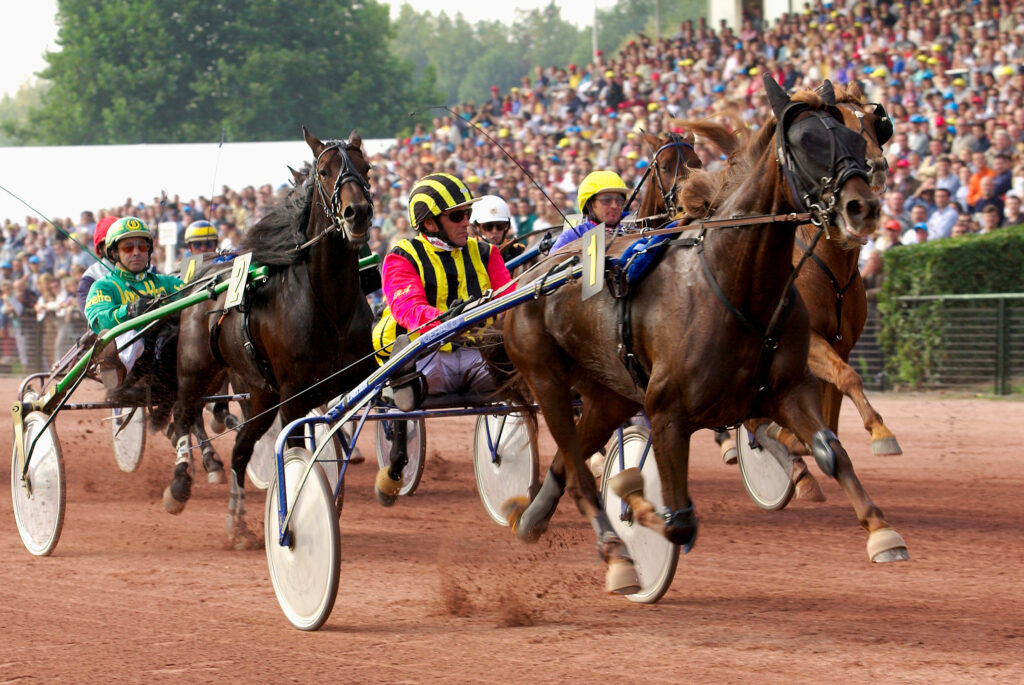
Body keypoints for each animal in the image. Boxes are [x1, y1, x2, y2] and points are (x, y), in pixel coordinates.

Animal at [163, 126, 376, 544]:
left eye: (367, 168)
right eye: (324, 171)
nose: (357, 213)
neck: (330, 306)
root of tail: (200, 277)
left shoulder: (350, 380)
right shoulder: (294, 394)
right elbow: (294, 451)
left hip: (261, 393)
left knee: (241, 449)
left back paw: (238, 522)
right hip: (196, 371)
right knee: (184, 414)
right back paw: (181, 484)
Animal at [495, 74, 905, 593]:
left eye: (868, 130)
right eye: (806, 142)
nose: (863, 205)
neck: (736, 282)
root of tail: (531, 275)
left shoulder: (792, 384)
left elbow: (832, 447)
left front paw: (881, 529)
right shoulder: (668, 412)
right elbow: (679, 521)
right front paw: (633, 499)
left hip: (609, 394)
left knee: (566, 461)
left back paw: (530, 517)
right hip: (547, 379)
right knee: (578, 467)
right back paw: (615, 551)